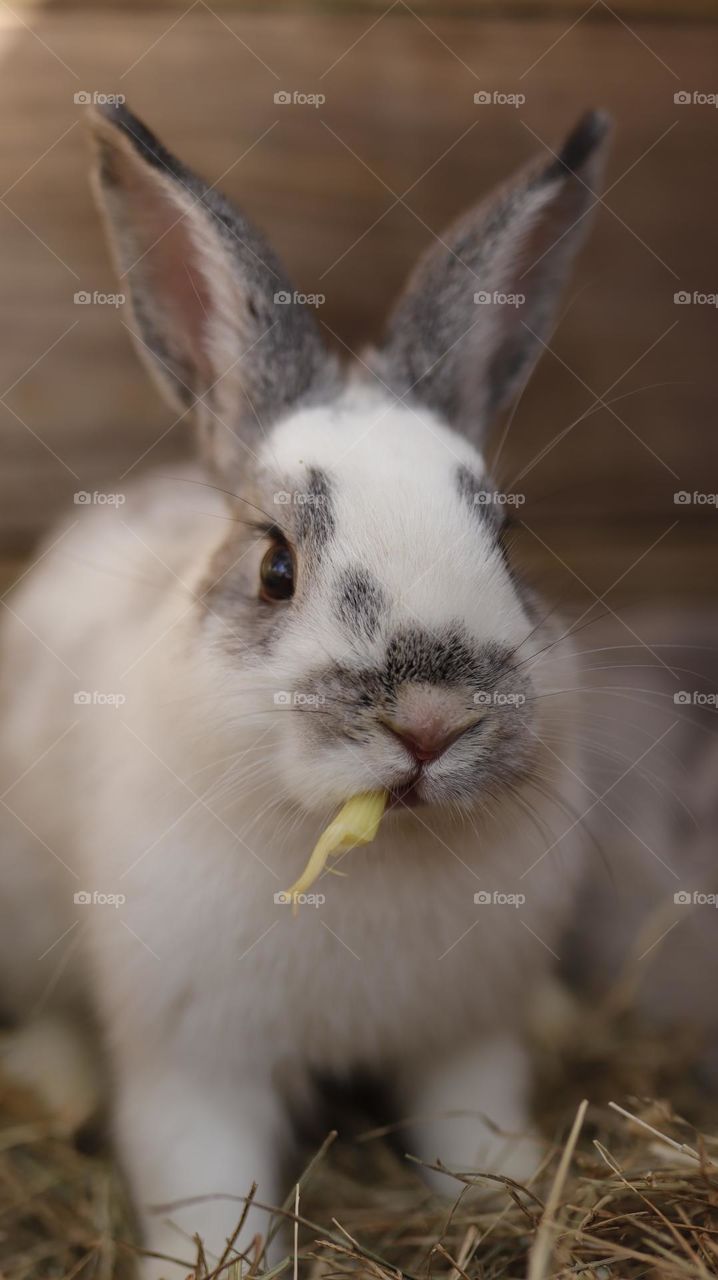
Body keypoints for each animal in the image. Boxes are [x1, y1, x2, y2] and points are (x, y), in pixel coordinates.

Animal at [0, 103, 609, 1275]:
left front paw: (503, 1190)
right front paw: (212, 1256)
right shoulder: (197, 1057)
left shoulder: (465, 1032)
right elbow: (201, 1171)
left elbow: (470, 1122)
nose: (429, 721)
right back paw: (54, 1080)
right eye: (276, 567)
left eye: (506, 541)